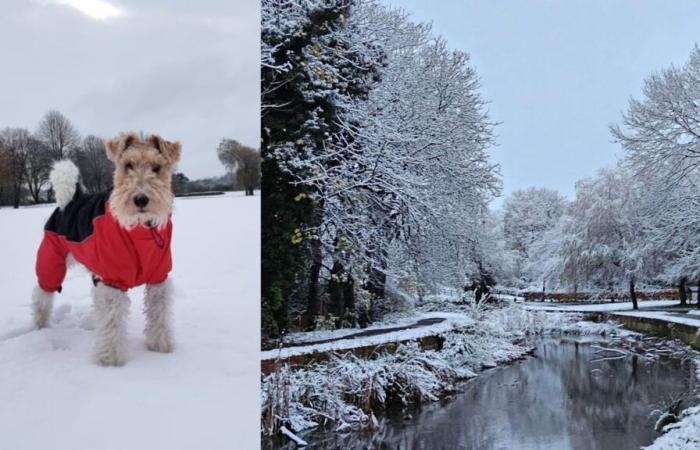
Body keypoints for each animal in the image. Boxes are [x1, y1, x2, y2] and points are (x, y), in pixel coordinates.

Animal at [32, 133, 180, 366]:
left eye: (157, 167)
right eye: (128, 165)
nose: (141, 199)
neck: (140, 230)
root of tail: (70, 199)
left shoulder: (159, 277)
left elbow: (159, 315)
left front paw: (161, 347)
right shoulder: (112, 280)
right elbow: (112, 322)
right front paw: (110, 360)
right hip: (50, 262)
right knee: (41, 297)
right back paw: (40, 327)